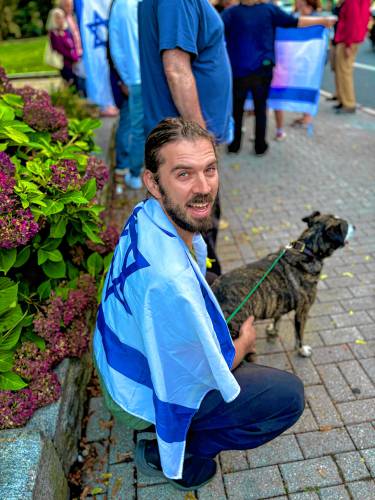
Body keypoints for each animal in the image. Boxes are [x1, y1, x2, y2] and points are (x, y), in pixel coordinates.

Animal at [213, 213, 354, 358]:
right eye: (346, 227)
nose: (354, 226)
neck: (308, 250)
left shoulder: (279, 303)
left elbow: (277, 318)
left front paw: (273, 330)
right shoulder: (303, 311)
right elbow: (299, 335)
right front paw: (302, 350)